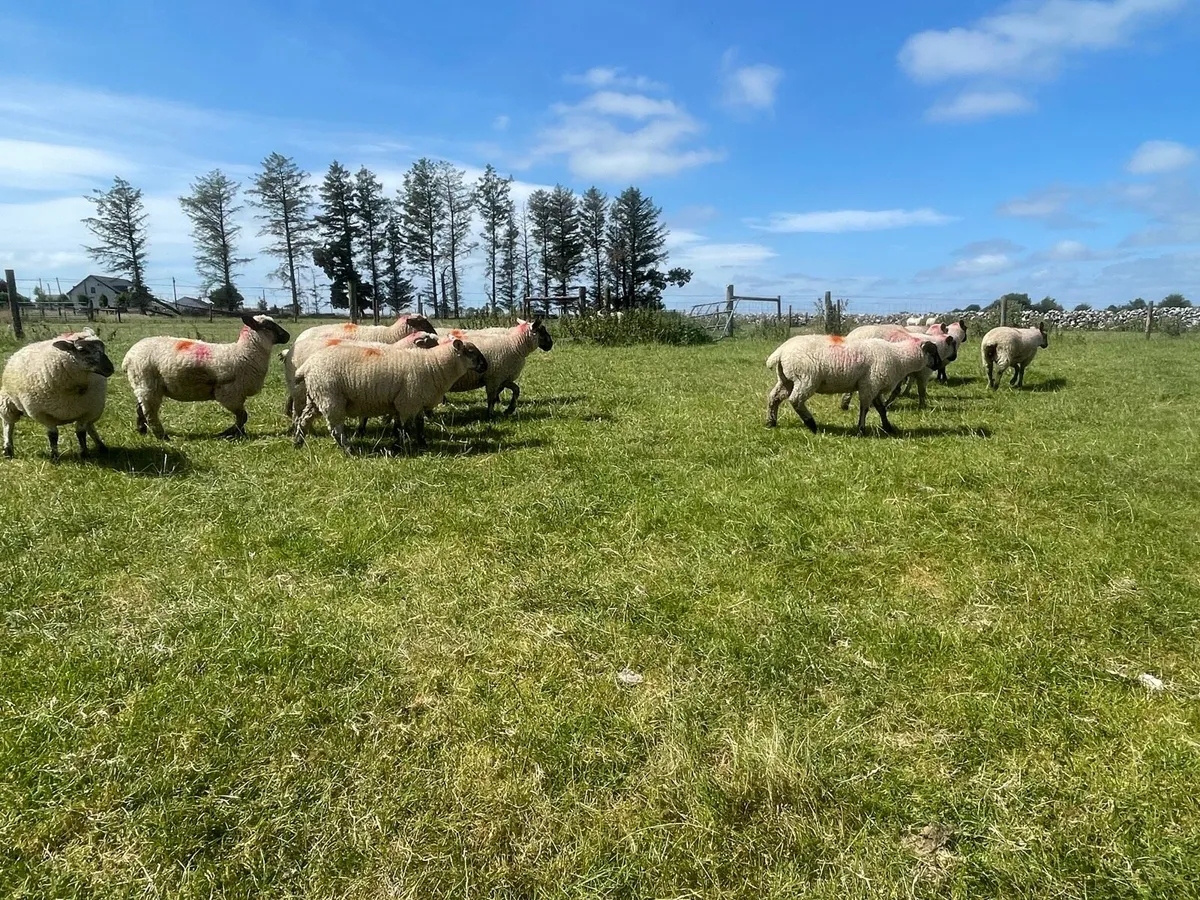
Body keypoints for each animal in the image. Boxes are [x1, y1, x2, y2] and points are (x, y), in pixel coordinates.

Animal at [1, 328, 115, 460]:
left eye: (103, 348)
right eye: (82, 350)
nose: (110, 369)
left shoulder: (87, 411)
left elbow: (81, 433)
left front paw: (84, 454)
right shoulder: (43, 414)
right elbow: (53, 435)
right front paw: (54, 457)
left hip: (93, 411)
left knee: (90, 426)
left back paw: (101, 446)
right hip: (7, 404)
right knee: (8, 425)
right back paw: (8, 450)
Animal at [121, 314, 291, 440]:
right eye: (268, 326)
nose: (288, 336)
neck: (245, 352)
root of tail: (129, 356)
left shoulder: (239, 396)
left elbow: (242, 417)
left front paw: (240, 433)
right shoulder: (229, 394)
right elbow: (243, 416)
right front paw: (228, 433)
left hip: (142, 385)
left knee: (140, 408)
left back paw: (142, 430)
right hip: (147, 383)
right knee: (149, 412)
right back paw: (162, 437)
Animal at [293, 336, 489, 453]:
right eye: (471, 352)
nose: (486, 366)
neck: (433, 365)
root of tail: (307, 366)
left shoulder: (416, 402)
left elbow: (419, 425)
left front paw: (422, 444)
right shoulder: (407, 402)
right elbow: (402, 428)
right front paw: (397, 448)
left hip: (315, 397)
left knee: (304, 419)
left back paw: (298, 443)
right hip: (330, 397)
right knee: (335, 428)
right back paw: (349, 450)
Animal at [765, 333, 941, 435]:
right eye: (933, 352)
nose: (939, 366)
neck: (899, 357)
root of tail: (780, 352)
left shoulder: (874, 387)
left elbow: (881, 409)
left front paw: (888, 427)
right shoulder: (870, 385)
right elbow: (865, 409)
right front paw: (861, 430)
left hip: (786, 379)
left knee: (774, 397)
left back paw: (771, 422)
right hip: (806, 379)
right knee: (796, 400)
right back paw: (811, 424)